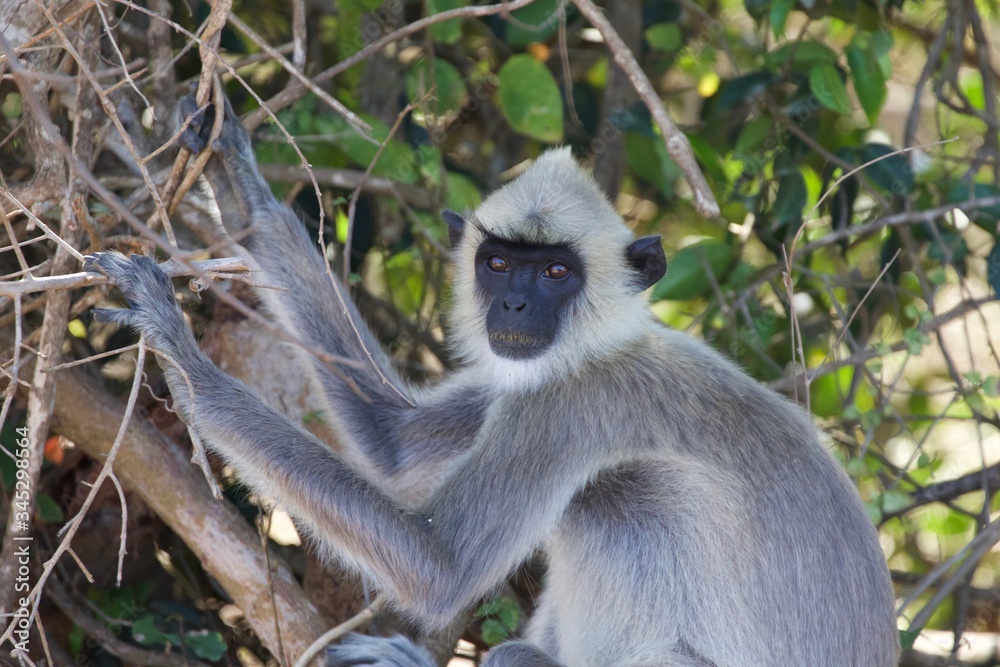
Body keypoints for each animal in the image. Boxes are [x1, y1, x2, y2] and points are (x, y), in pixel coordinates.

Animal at [84, 95, 899, 667]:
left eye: (556, 273)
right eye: (500, 263)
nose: (513, 306)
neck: (603, 345)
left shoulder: (574, 401)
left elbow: (440, 566)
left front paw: (183, 355)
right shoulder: (524, 379)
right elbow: (395, 443)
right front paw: (238, 187)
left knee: (595, 529)